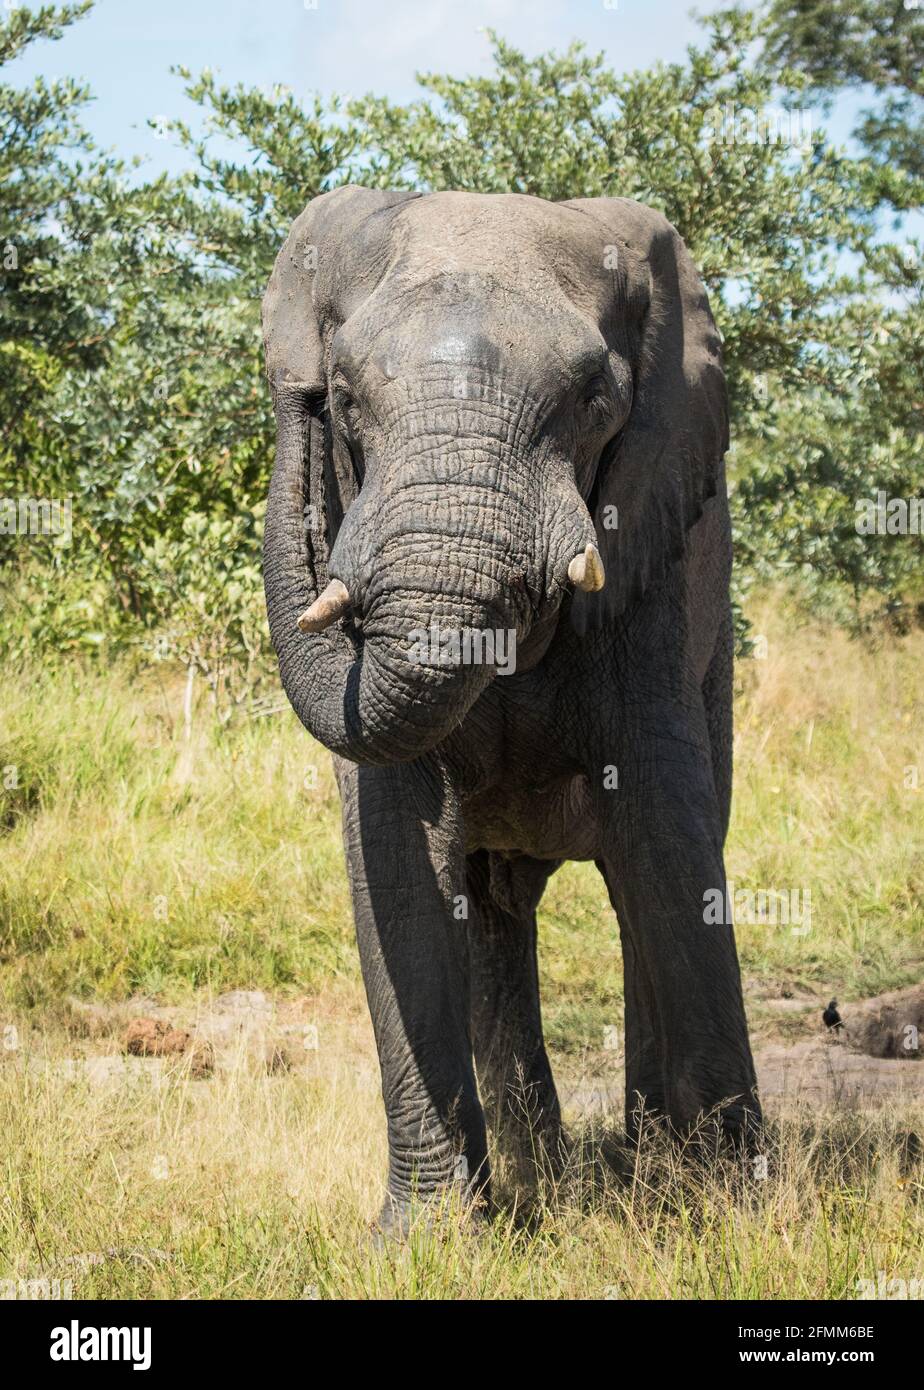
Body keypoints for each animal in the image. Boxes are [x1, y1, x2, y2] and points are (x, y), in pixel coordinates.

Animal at [259, 182, 755, 1228]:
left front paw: (739, 1216)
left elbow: (669, 836)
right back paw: (544, 1182)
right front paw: (429, 1237)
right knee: (494, 911)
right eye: (347, 400)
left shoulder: (650, 561)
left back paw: (647, 1168)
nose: (301, 391)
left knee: (635, 884)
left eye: (596, 400)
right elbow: (396, 849)